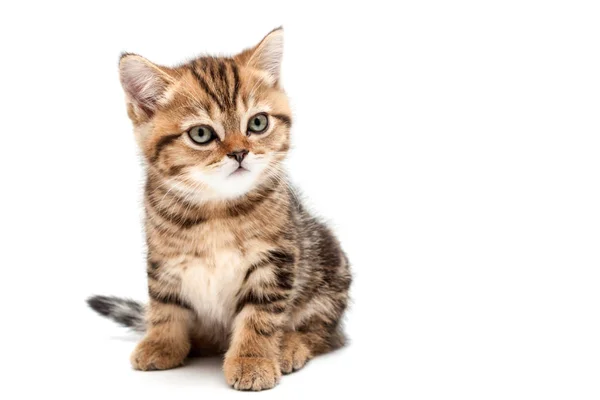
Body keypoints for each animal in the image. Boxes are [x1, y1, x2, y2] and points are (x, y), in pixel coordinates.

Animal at [88, 28, 352, 390]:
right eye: (201, 134)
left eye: (258, 123)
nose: (240, 152)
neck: (216, 209)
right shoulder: (163, 259)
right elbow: (165, 305)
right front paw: (162, 342)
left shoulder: (276, 259)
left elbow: (260, 316)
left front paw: (253, 359)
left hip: (330, 269)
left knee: (325, 332)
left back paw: (290, 346)